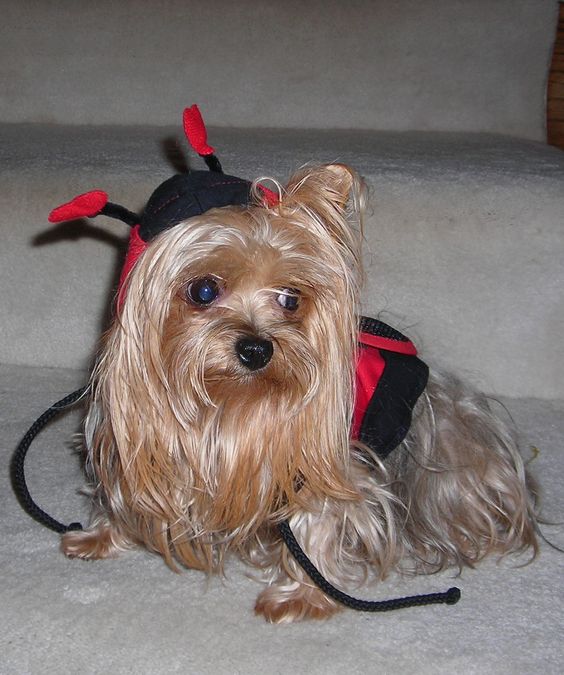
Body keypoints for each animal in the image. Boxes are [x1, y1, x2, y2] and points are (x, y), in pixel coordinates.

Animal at [60, 141, 536, 624]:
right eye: (204, 291)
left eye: (291, 298)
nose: (256, 349)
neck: (231, 402)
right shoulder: (131, 435)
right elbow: (122, 488)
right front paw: (100, 535)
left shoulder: (324, 462)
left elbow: (319, 519)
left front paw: (303, 595)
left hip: (441, 461)